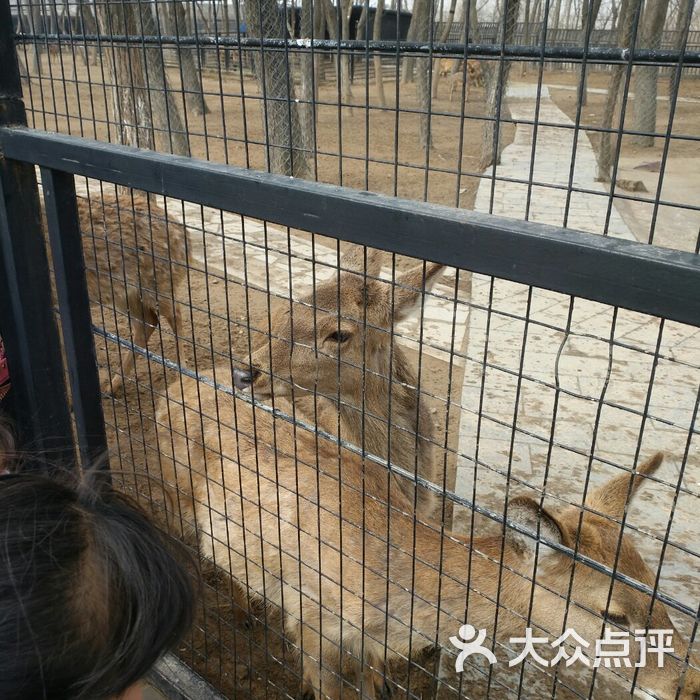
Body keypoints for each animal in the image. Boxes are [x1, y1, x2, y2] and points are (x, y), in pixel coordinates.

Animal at [72, 193, 186, 394]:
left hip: (157, 284)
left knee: (175, 314)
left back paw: (183, 375)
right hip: (125, 293)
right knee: (148, 322)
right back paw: (112, 386)